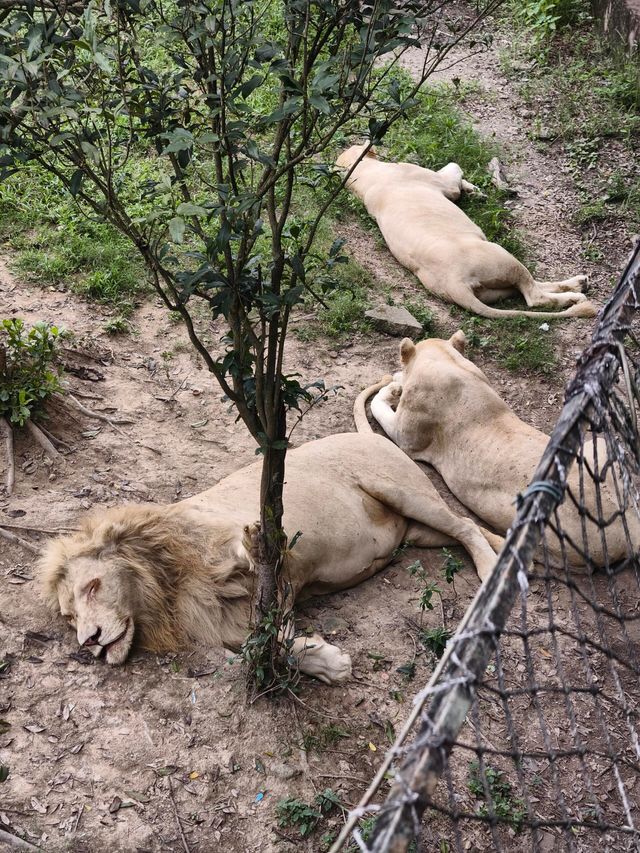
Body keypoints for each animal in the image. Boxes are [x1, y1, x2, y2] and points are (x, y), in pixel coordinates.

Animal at [40, 432, 500, 684]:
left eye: (93, 586)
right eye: (70, 618)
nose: (89, 641)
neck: (167, 591)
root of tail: (371, 435)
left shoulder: (271, 566)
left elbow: (256, 561)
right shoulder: (232, 619)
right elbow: (267, 646)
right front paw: (328, 664)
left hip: (405, 493)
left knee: (466, 525)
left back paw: (491, 570)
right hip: (417, 533)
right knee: (465, 531)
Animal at [336, 145, 596, 322]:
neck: (363, 177)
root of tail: (455, 284)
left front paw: (474, 191)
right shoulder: (443, 182)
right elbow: (454, 167)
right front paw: (473, 190)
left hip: (495, 288)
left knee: (534, 287)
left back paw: (578, 284)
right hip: (501, 256)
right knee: (534, 296)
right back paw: (577, 297)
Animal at [358, 332, 636, 564]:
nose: (396, 376)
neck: (449, 363)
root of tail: (631, 527)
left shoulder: (406, 437)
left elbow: (377, 406)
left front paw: (393, 385)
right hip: (601, 445)